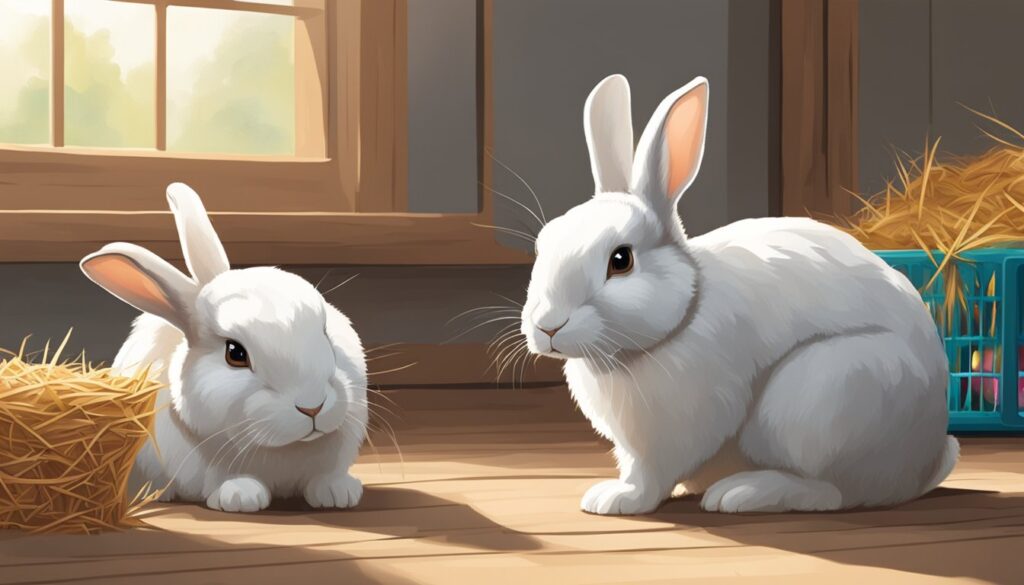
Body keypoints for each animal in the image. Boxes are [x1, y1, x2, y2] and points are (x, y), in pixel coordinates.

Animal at [80, 183, 368, 513]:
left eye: (324, 330)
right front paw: (241, 496)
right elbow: (227, 479)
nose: (312, 406)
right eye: (235, 354)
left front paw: (339, 492)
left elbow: (326, 474)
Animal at [520, 74, 959, 515]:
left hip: (823, 397)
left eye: (621, 260)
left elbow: (650, 476)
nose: (548, 326)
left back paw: (742, 493)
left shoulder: (675, 432)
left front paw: (618, 499)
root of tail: (926, 460)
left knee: (832, 492)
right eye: (543, 244)